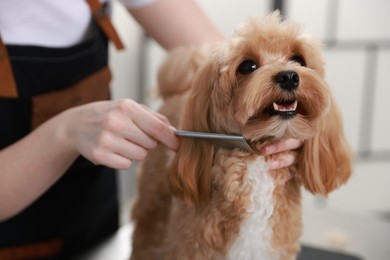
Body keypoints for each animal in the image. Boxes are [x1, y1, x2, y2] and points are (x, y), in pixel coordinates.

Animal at [131, 12, 354, 260]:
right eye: (247, 66)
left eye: (298, 59)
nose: (288, 76)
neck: (257, 158)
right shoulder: (193, 248)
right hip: (151, 204)